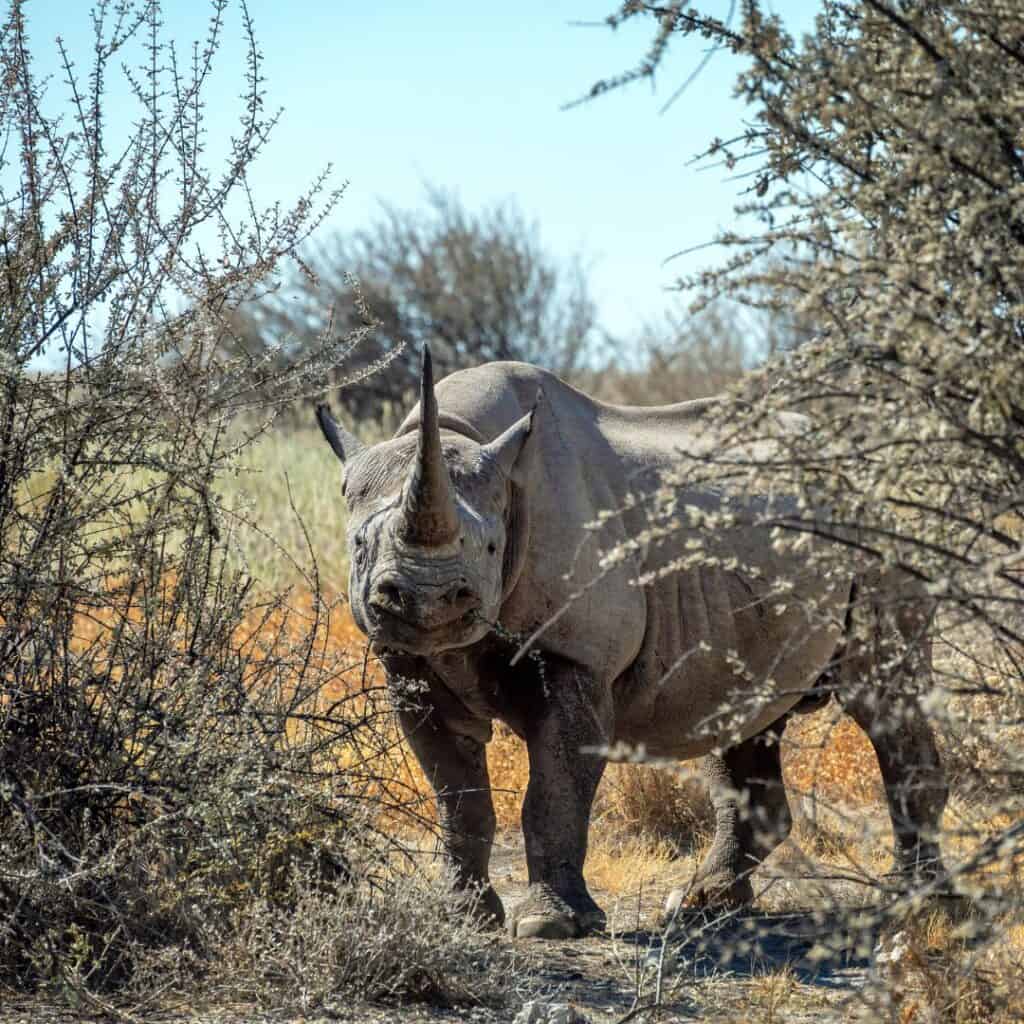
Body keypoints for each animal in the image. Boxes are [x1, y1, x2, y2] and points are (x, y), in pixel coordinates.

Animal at [316, 348, 950, 939]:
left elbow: (554, 791)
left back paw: (912, 904)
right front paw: (462, 918)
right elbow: (456, 794)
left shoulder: (577, 654)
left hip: (883, 535)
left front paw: (550, 926)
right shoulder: (410, 661)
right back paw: (704, 903)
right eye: (358, 548)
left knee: (884, 698)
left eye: (491, 548)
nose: (430, 601)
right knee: (744, 709)